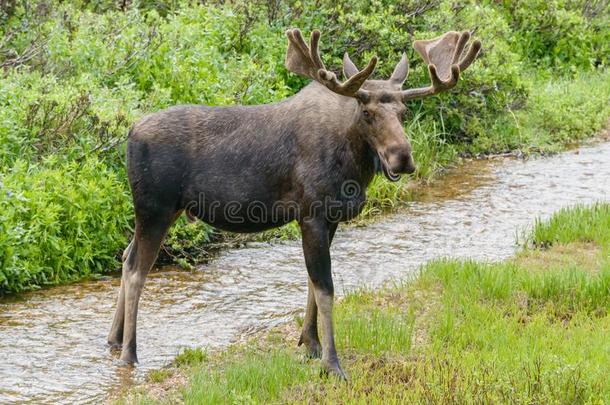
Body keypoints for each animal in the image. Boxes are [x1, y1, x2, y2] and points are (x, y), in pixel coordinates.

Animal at [109, 26, 480, 378]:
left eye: (403, 111)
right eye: (367, 111)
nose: (402, 158)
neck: (353, 164)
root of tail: (129, 134)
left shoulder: (331, 218)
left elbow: (312, 284)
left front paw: (310, 343)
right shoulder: (311, 214)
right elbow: (325, 287)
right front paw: (332, 363)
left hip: (160, 212)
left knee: (126, 258)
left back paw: (113, 339)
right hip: (155, 208)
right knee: (138, 269)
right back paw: (129, 352)